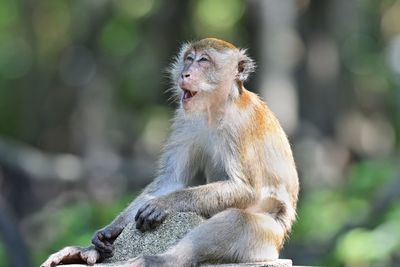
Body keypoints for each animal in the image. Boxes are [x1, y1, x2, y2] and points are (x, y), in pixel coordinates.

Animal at [41, 37, 296, 267]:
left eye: (204, 60)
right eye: (189, 59)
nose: (185, 74)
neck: (216, 110)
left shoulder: (241, 125)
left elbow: (246, 189)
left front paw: (164, 203)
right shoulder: (184, 119)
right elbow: (170, 180)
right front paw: (110, 230)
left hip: (268, 241)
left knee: (237, 220)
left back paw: (158, 260)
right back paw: (88, 252)